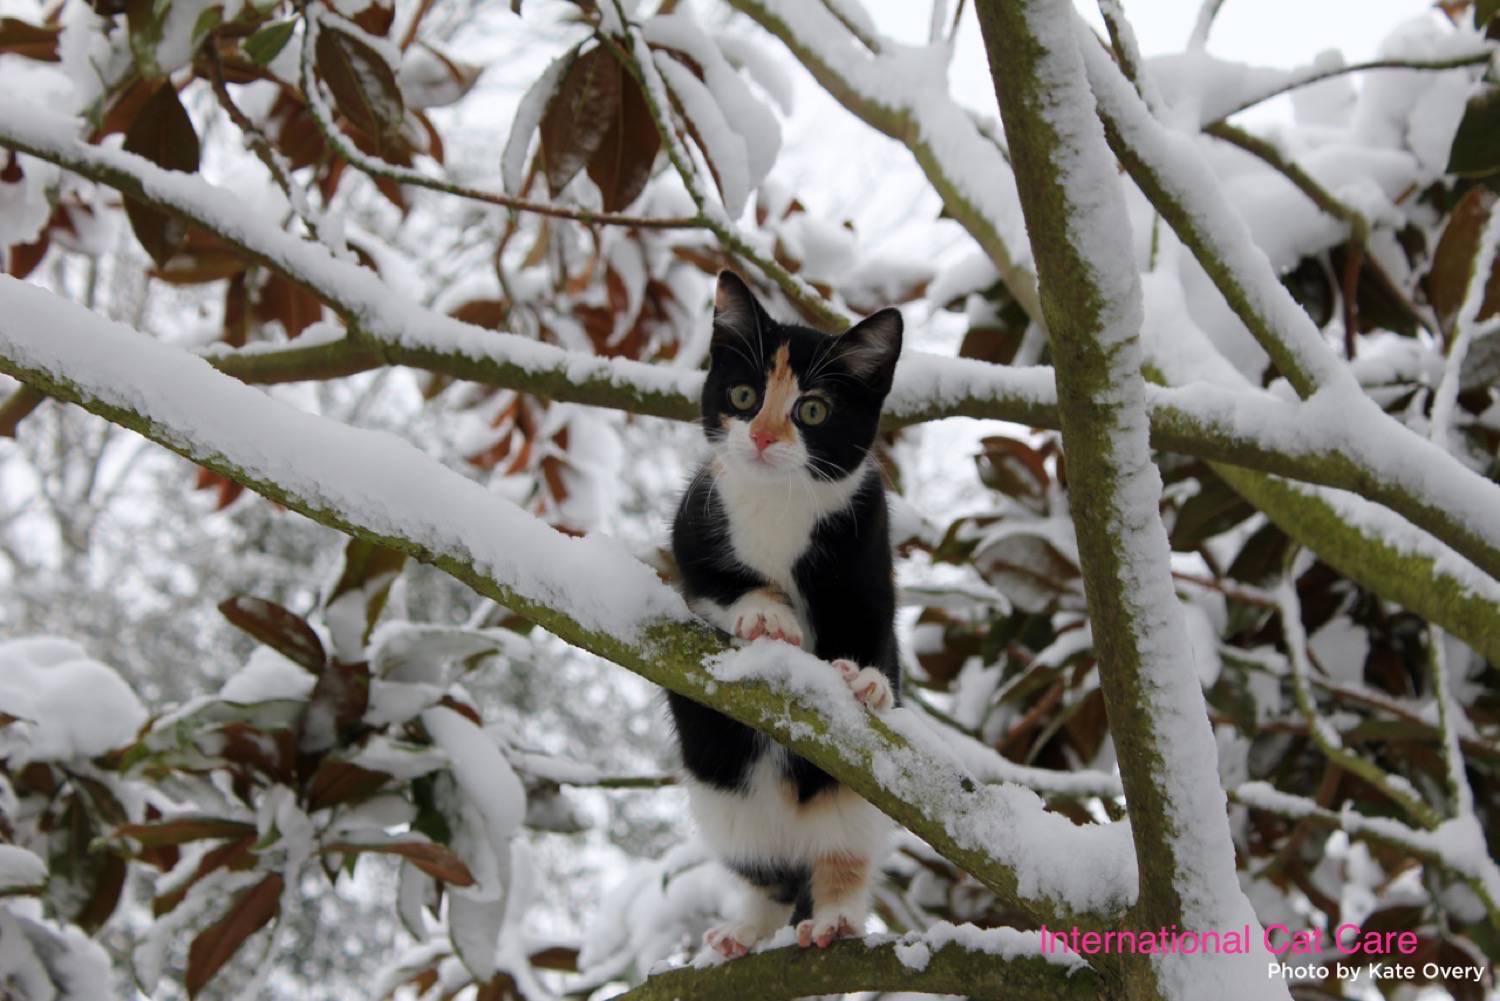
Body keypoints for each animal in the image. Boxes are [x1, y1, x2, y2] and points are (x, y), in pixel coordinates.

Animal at [669, 270, 900, 960]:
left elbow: (874, 625)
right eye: (743, 396)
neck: (780, 502)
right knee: (764, 872)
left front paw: (866, 680)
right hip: (722, 796)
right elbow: (715, 582)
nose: (765, 436)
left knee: (842, 855)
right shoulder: (694, 523)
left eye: (813, 410)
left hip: (848, 804)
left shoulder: (868, 547)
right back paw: (745, 928)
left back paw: (836, 918)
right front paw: (768, 619)